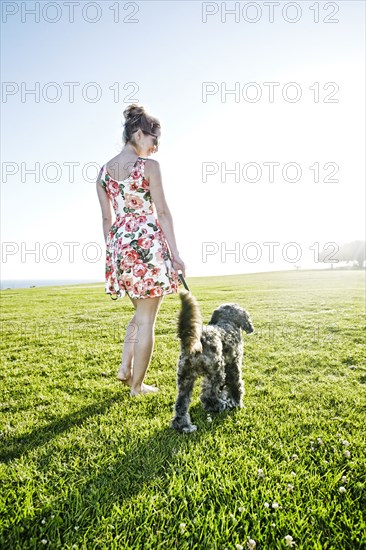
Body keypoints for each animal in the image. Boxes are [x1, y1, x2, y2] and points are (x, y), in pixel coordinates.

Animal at [171, 294, 254, 436]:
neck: (227, 322)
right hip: (216, 372)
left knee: (181, 404)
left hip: (185, 379)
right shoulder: (233, 365)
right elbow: (236, 385)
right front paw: (238, 404)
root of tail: (197, 341)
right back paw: (219, 405)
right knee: (207, 396)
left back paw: (184, 426)